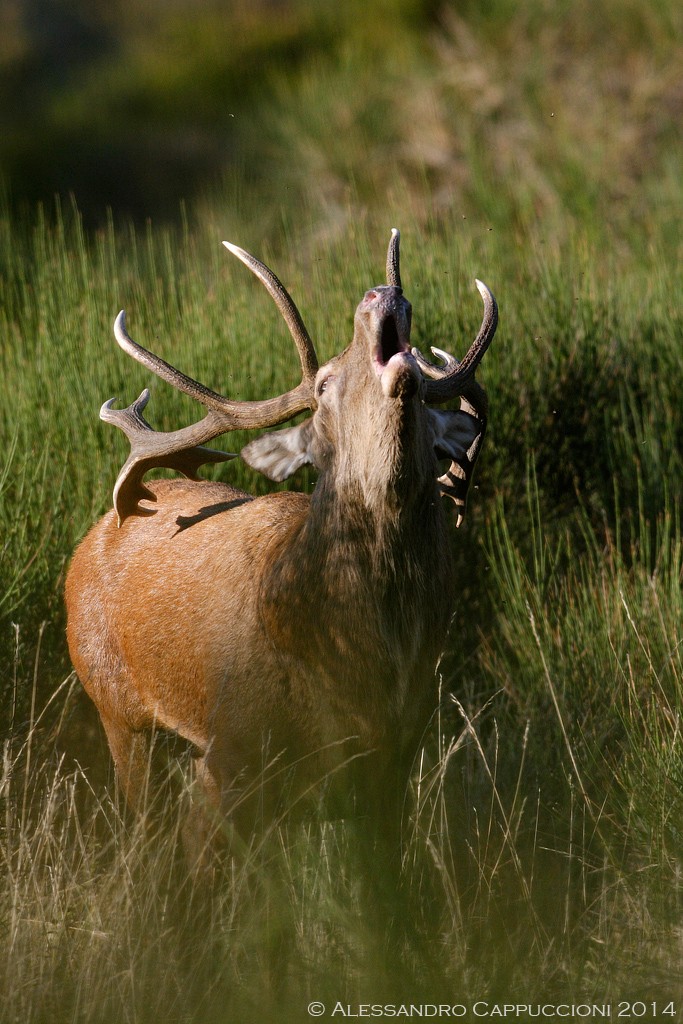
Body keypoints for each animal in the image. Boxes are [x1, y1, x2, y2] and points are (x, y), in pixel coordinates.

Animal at [65, 232, 497, 864]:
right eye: (322, 385)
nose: (379, 291)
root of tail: (87, 540)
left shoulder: (396, 754)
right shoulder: (234, 752)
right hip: (113, 703)